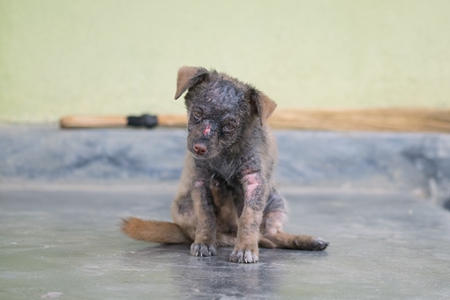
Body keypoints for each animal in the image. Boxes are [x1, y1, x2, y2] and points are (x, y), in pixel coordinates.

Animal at [121, 67, 328, 264]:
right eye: (197, 113)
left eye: (230, 125)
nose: (199, 148)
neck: (225, 153)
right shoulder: (200, 180)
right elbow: (206, 215)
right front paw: (204, 242)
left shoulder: (254, 180)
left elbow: (249, 217)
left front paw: (245, 248)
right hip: (183, 206)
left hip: (276, 202)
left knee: (270, 236)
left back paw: (305, 241)